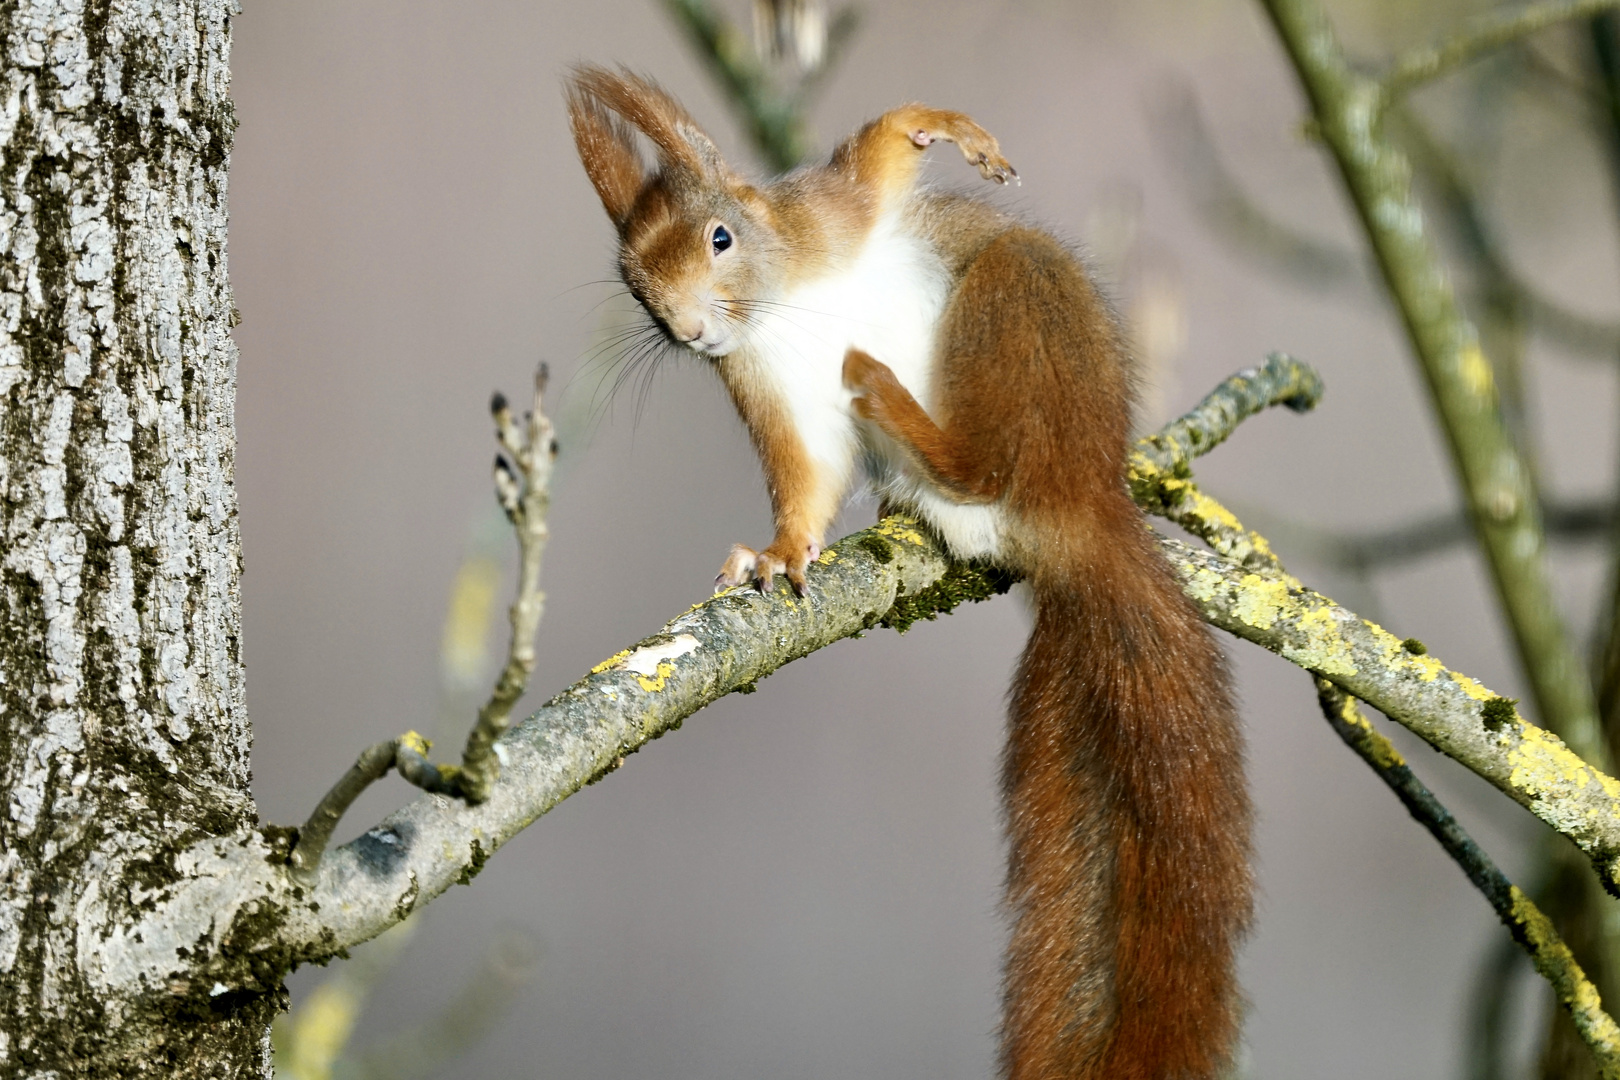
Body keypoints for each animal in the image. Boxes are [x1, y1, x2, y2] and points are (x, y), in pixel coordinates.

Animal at [570, 69, 1250, 1080]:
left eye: (723, 237)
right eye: (633, 285)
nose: (688, 330)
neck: (781, 304)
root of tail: (1080, 500)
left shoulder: (834, 214)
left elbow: (880, 155)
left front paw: (950, 133)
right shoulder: (776, 395)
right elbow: (806, 486)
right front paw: (777, 554)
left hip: (1018, 311)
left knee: (989, 448)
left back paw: (890, 391)